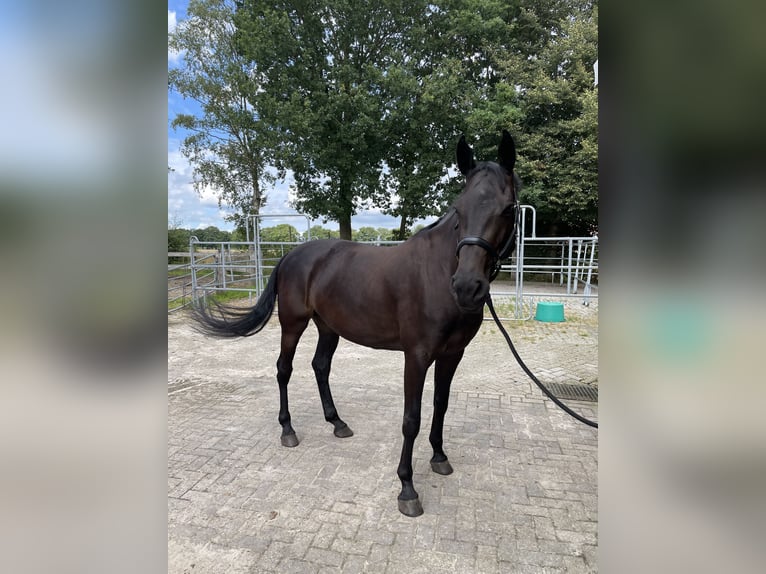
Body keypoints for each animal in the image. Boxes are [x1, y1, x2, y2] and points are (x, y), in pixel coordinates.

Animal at [195, 130, 524, 516]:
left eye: (508, 209)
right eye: (458, 210)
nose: (468, 287)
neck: (439, 272)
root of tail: (292, 254)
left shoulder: (452, 354)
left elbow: (440, 405)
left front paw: (440, 457)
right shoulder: (416, 356)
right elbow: (411, 418)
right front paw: (407, 488)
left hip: (328, 327)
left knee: (320, 366)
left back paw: (337, 422)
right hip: (293, 324)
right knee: (283, 369)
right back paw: (288, 431)